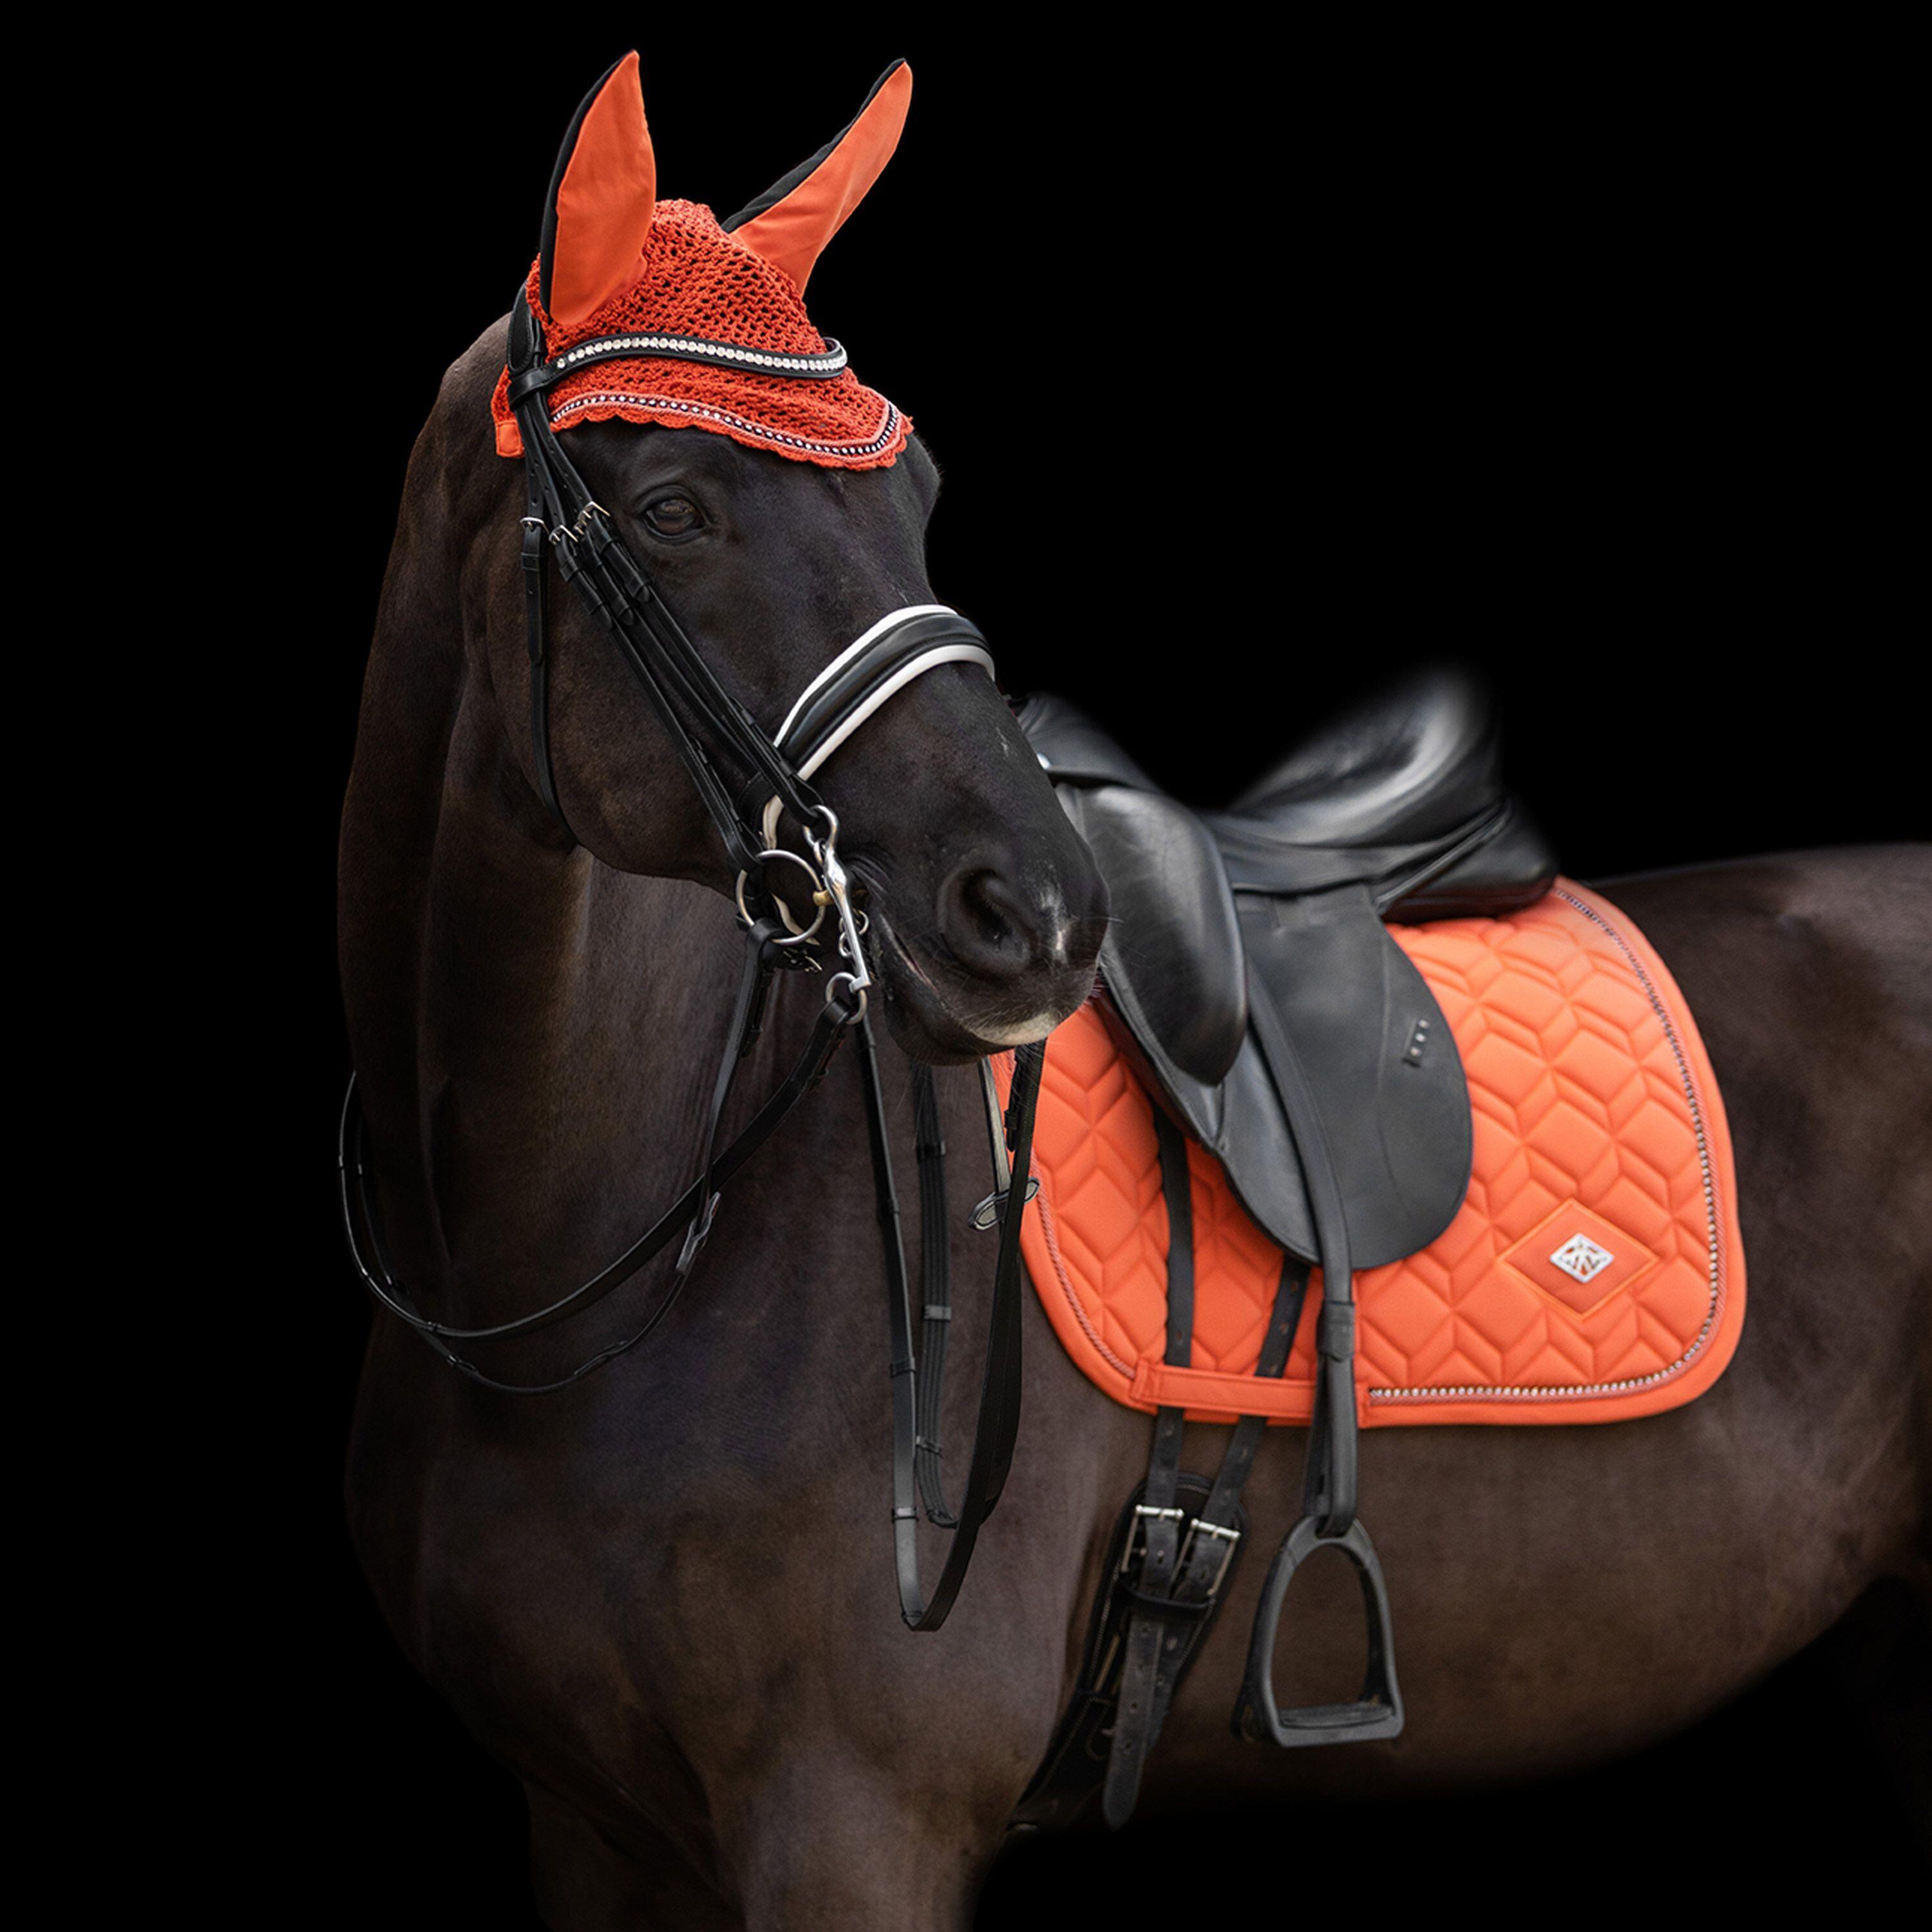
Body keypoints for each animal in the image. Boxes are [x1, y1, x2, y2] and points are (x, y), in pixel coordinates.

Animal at [339, 56, 1931, 1932]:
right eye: (671, 506)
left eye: (917, 492)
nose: (1038, 912)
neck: (572, 1262)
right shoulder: (587, 1832)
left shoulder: (855, 1821)